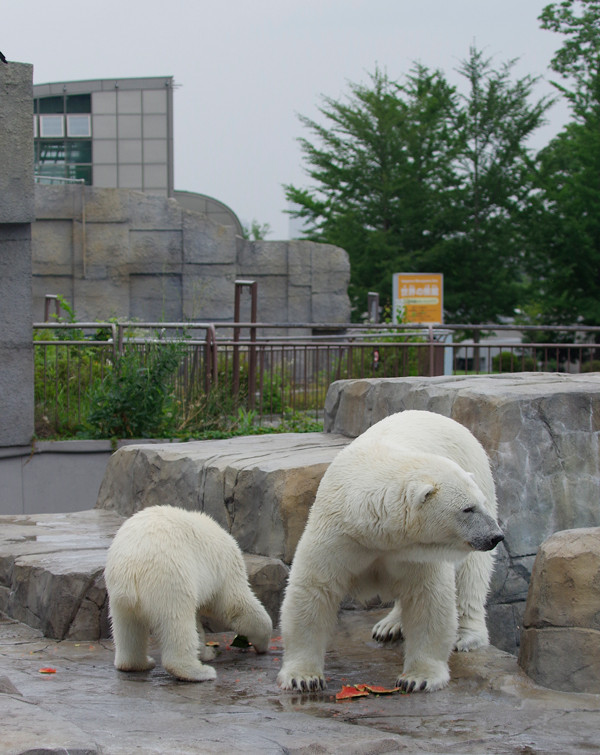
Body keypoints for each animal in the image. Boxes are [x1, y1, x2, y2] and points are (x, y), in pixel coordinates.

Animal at [278, 410, 504, 692]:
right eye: (467, 509)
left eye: (477, 504)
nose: (496, 535)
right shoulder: (339, 536)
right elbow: (313, 590)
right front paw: (303, 678)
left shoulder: (417, 552)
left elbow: (429, 597)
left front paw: (419, 678)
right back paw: (388, 626)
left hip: (478, 471)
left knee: (471, 574)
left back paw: (466, 635)